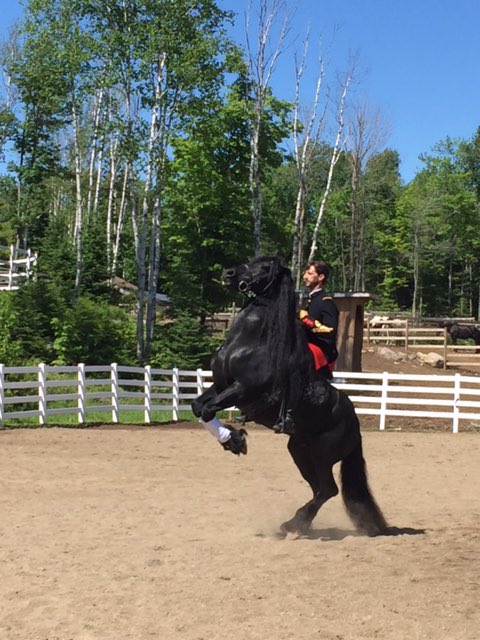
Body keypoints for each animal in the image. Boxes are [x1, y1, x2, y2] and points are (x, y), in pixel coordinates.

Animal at [192, 256, 388, 537]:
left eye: (265, 268)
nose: (228, 273)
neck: (250, 343)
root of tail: (354, 423)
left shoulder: (242, 389)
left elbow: (207, 410)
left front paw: (236, 439)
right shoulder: (221, 386)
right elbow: (199, 407)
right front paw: (234, 440)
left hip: (322, 455)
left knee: (328, 489)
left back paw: (296, 523)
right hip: (299, 450)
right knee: (320, 489)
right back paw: (297, 523)